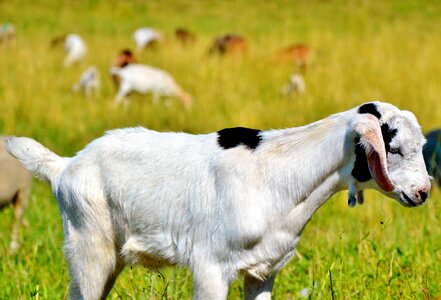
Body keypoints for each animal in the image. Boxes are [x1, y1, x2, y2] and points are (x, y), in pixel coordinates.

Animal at [5, 102, 428, 298]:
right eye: (393, 147)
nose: (423, 192)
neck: (277, 174)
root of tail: (66, 166)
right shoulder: (210, 266)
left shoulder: (264, 270)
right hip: (89, 248)